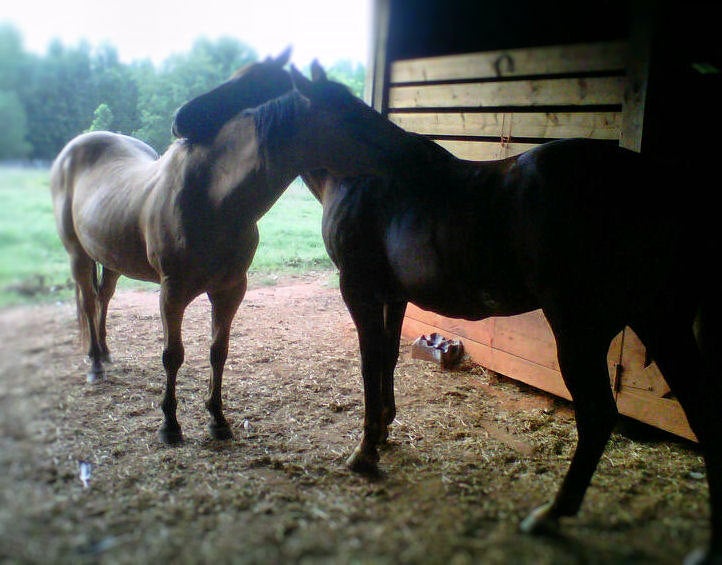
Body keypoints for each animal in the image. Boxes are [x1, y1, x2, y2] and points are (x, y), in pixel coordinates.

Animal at [50, 48, 292, 442]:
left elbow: (218, 350)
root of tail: (72, 150)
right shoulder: (172, 290)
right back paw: (95, 363)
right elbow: (173, 354)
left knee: (102, 298)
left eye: (251, 82)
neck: (214, 200)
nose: (181, 120)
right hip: (77, 254)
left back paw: (105, 353)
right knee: (87, 300)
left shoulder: (231, 288)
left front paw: (217, 419)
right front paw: (170, 424)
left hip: (111, 258)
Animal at [174, 65, 720, 560]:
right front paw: (384, 430)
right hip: (659, 322)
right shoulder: (392, 295)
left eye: (250, 88)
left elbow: (369, 364)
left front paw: (364, 453)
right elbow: (388, 359)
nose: (182, 119)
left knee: (599, 416)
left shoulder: (359, 289)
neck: (364, 171)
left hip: (581, 329)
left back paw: (550, 515)